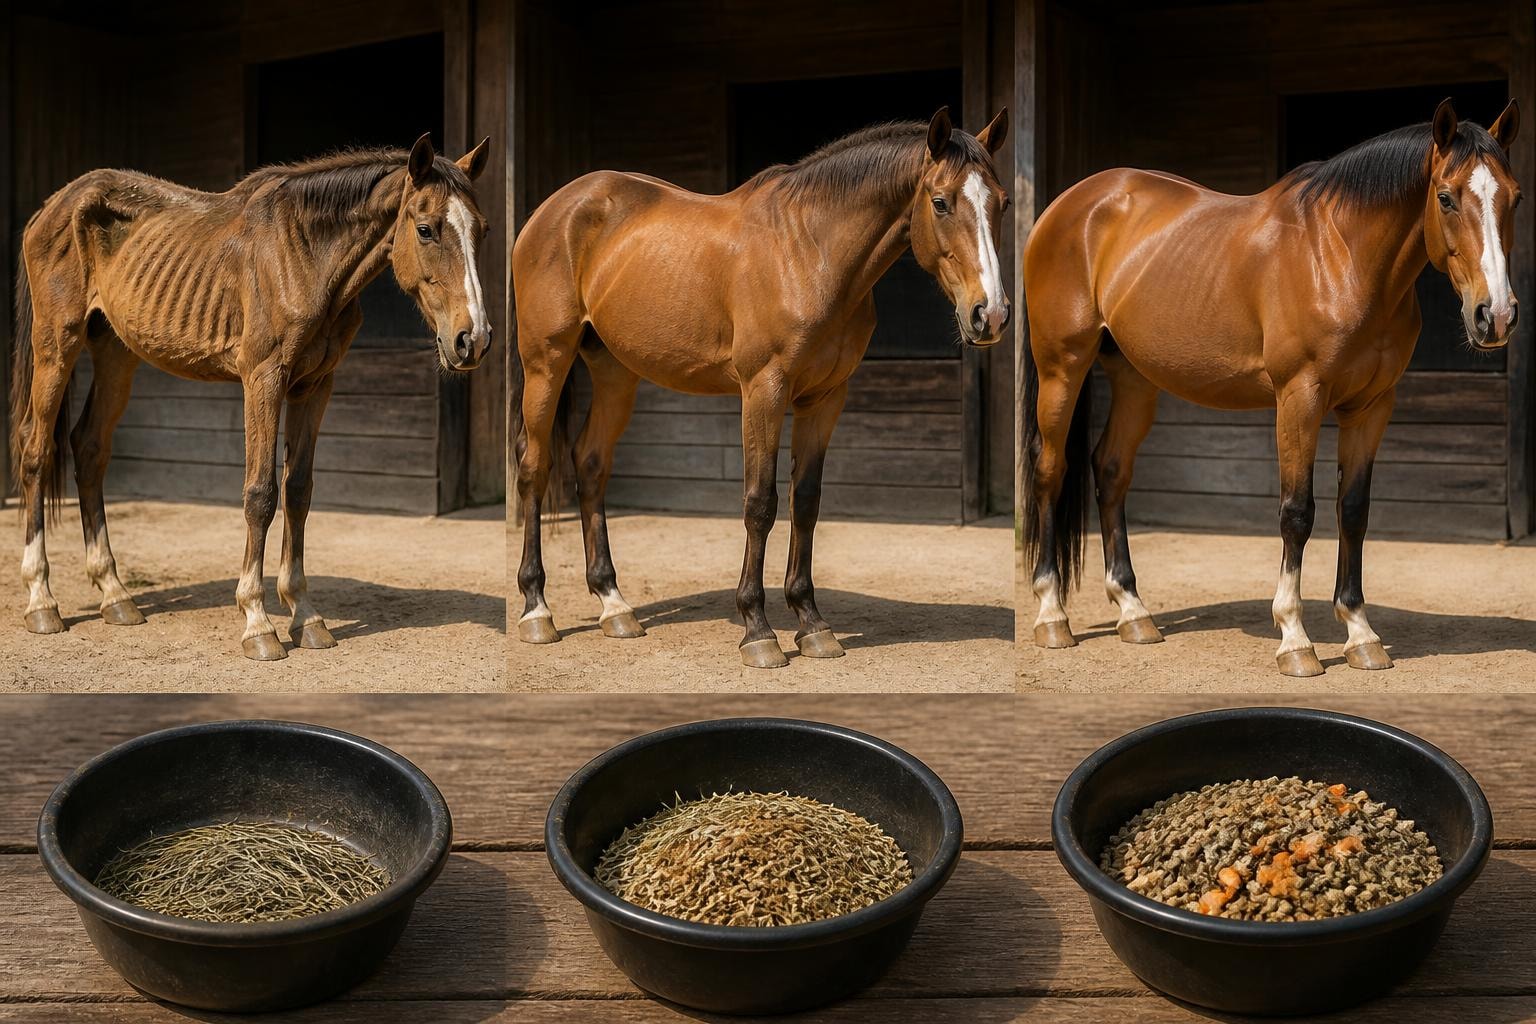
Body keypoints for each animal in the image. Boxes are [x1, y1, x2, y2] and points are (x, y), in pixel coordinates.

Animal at [10, 134, 492, 661]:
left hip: (115, 351)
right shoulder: (263, 379)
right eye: (425, 229)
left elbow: (298, 491)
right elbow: (260, 494)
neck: (303, 255)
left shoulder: (315, 386)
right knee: (36, 450)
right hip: (56, 344)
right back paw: (41, 601)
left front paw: (305, 615)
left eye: (482, 231)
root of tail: (52, 206)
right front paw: (258, 623)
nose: (472, 339)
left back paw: (116, 596)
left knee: (89, 449)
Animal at [513, 107, 1010, 668]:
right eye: (941, 201)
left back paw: (613, 605)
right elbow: (760, 503)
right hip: (546, 364)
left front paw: (811, 622)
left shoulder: (826, 398)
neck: (809, 252)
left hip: (615, 371)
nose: (990, 314)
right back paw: (536, 610)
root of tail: (556, 207)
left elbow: (806, 500)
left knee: (591, 463)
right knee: (533, 467)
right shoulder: (763, 390)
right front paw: (758, 628)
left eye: (1003, 202)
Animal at [1023, 98, 1520, 677]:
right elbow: (1297, 512)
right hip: (1062, 368)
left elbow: (1353, 511)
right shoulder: (1299, 397)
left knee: (1110, 471)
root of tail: (1068, 205)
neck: (1341, 257)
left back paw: (1133, 611)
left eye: (1514, 197)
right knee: (1049, 472)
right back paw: (1052, 616)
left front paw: (1360, 633)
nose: (1496, 315)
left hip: (1134, 378)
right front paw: (1295, 640)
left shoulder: (1371, 407)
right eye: (1445, 197)